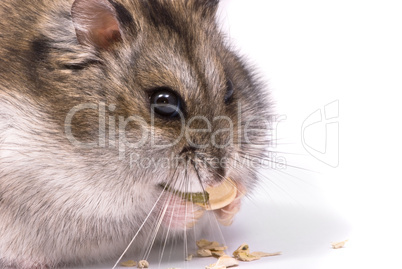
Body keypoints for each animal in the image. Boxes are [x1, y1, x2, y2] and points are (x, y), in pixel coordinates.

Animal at [0, 1, 272, 266]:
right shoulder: (78, 197)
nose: (218, 179)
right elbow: (144, 209)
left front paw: (232, 202)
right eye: (164, 102)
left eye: (229, 90)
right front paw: (185, 209)